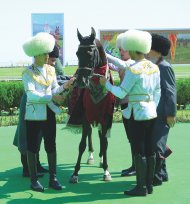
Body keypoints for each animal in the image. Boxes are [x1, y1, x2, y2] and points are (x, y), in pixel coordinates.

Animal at [68, 27, 116, 183]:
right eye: (77, 53)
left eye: (90, 54)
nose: (80, 81)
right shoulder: (85, 116)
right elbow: (82, 144)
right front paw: (75, 173)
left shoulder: (106, 116)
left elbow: (105, 142)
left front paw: (106, 170)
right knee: (89, 134)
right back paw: (91, 156)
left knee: (101, 135)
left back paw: (101, 159)